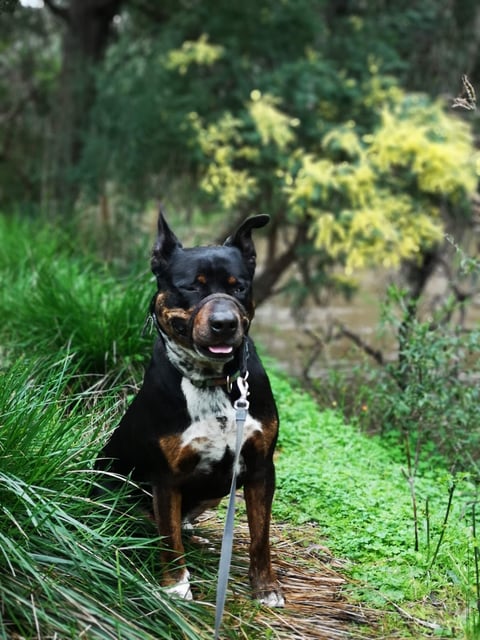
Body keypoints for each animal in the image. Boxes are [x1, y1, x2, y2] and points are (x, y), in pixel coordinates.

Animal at [96, 212, 284, 608]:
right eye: (191, 288)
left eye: (239, 287)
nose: (224, 323)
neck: (215, 382)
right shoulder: (166, 478)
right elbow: (169, 540)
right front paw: (176, 587)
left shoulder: (261, 468)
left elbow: (261, 535)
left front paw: (265, 585)